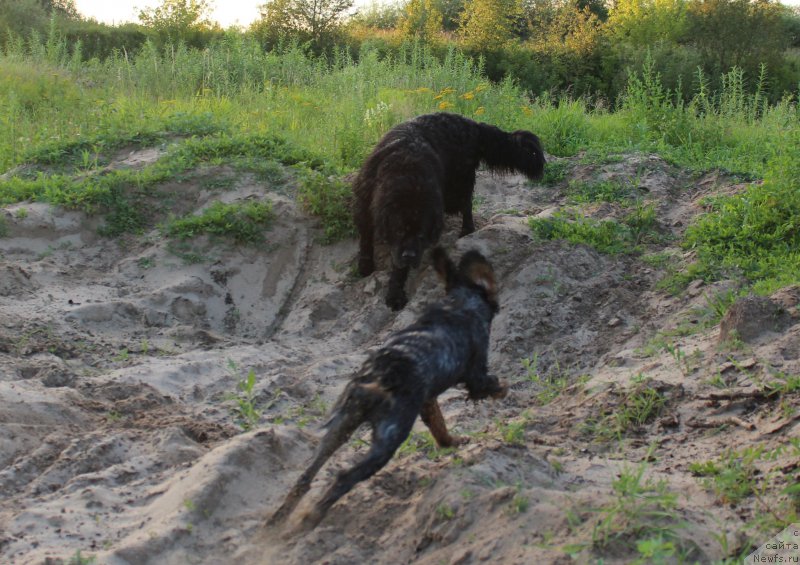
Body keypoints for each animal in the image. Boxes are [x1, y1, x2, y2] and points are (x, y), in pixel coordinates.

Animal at [268, 246, 506, 528]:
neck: (459, 303)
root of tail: (376, 377)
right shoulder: (476, 372)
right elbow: (490, 383)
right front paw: (502, 391)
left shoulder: (427, 401)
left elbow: (439, 426)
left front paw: (451, 442)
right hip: (389, 437)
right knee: (344, 478)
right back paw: (309, 520)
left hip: (340, 427)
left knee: (306, 475)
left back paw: (278, 519)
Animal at [354, 112, 548, 310]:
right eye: (399, 231)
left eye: (421, 236)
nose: (409, 256)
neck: (407, 173)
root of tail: (473, 124)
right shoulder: (365, 204)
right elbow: (366, 238)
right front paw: (365, 265)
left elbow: (398, 266)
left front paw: (395, 293)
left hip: (461, 182)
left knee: (466, 205)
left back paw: (467, 230)